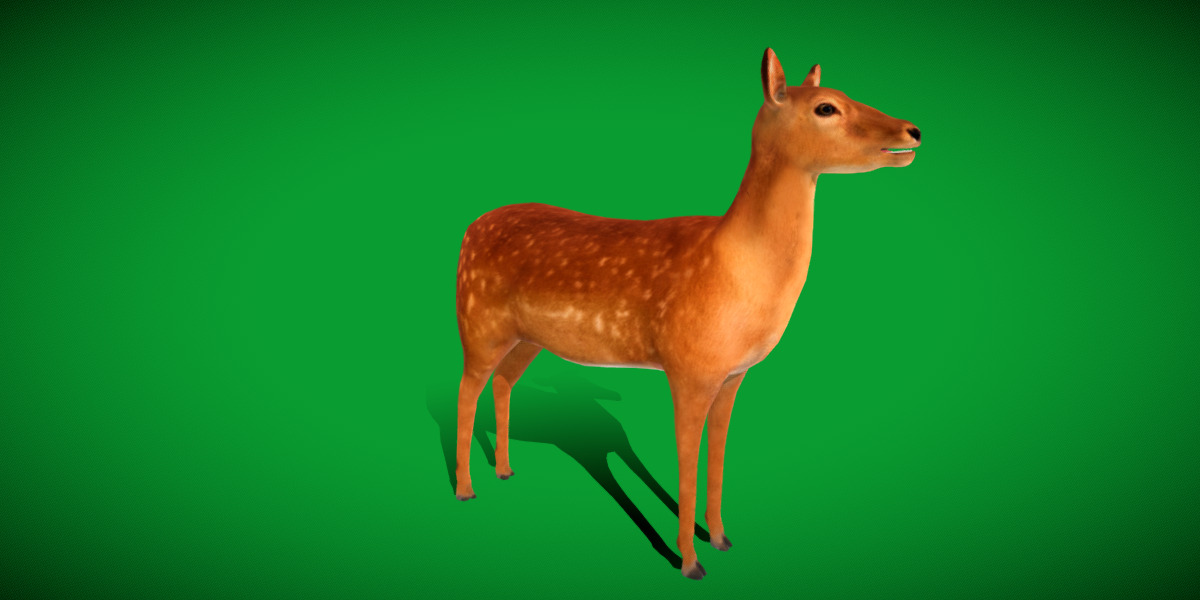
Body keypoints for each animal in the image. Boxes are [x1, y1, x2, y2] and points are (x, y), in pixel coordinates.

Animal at [452, 47, 921, 580]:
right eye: (826, 107)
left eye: (843, 93)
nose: (912, 131)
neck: (732, 268)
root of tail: (469, 230)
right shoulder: (687, 366)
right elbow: (687, 461)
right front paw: (689, 562)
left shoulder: (733, 373)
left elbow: (717, 456)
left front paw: (720, 537)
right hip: (478, 321)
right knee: (466, 391)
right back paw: (466, 488)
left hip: (527, 338)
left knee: (503, 381)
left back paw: (505, 469)